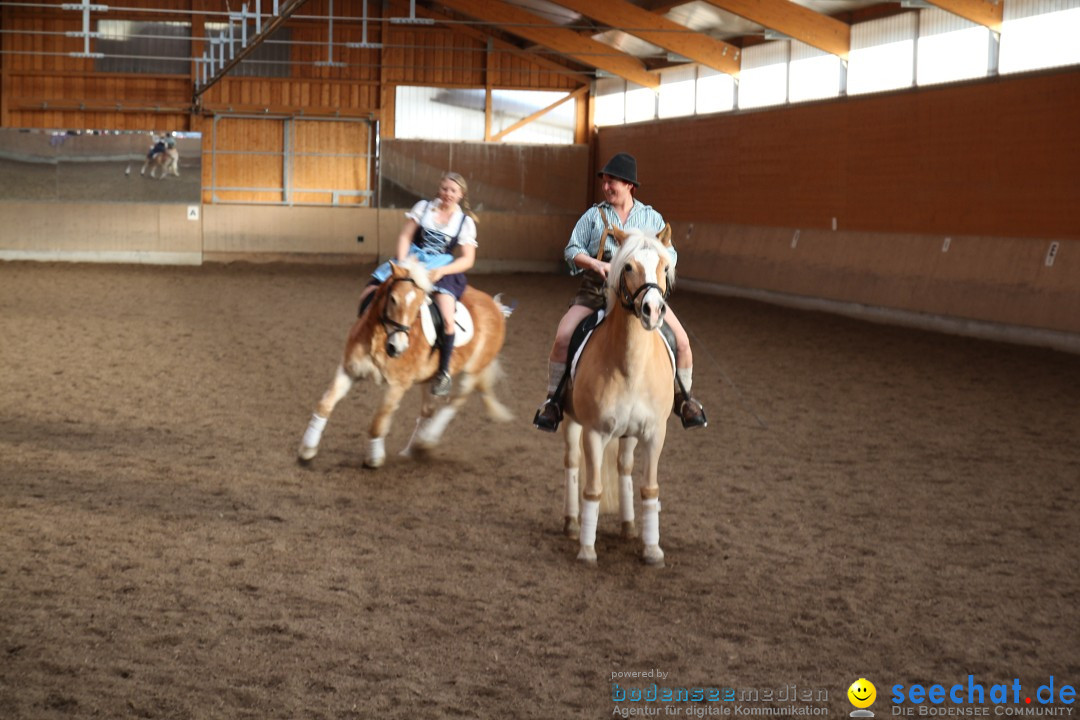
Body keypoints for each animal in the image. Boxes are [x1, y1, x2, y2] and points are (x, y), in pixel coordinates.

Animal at [298, 262, 511, 470]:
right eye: (392, 299)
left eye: (419, 306)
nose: (397, 347)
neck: (379, 339)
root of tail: (496, 306)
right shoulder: (349, 370)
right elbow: (325, 405)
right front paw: (307, 450)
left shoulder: (397, 385)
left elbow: (378, 422)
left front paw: (374, 459)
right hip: (429, 379)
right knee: (428, 411)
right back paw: (412, 450)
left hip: (472, 371)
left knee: (455, 402)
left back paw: (426, 441)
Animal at [565, 225, 673, 569]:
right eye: (627, 267)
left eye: (664, 266)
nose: (653, 311)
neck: (631, 368)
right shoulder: (594, 432)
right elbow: (593, 490)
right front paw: (587, 551)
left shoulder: (654, 433)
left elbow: (649, 488)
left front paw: (652, 550)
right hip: (571, 423)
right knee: (572, 464)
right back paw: (572, 524)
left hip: (629, 434)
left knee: (624, 467)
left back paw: (628, 526)